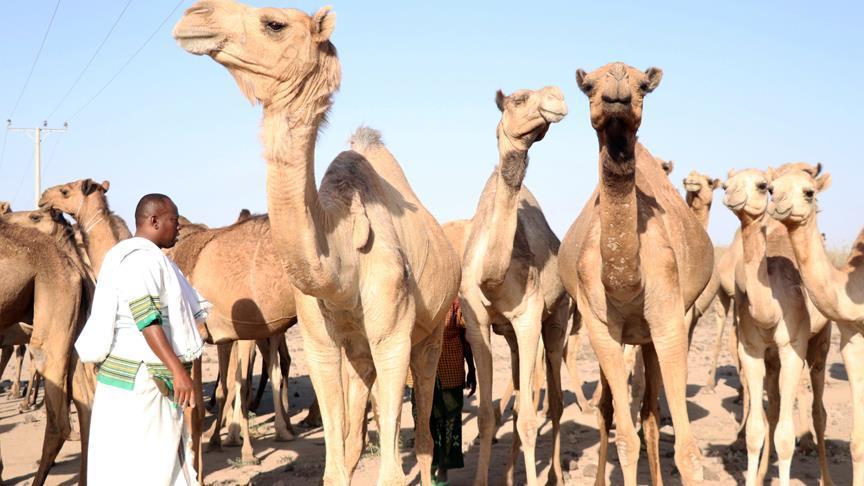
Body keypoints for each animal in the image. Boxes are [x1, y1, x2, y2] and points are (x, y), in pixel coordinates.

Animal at [174, 4, 461, 485]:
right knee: (357, 430)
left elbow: (390, 468)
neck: (340, 259)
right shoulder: (320, 342)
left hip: (433, 332)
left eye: (274, 23)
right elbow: (335, 463)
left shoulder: (393, 337)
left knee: (422, 436)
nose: (193, 16)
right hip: (360, 352)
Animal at [454, 86, 569, 485]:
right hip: (511, 337)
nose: (557, 97)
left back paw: (555, 476)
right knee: (520, 403)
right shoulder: (478, 324)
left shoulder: (529, 317)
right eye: (519, 99)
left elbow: (531, 421)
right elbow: (488, 417)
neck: (492, 276)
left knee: (554, 403)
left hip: (558, 318)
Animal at [558, 62, 713, 486]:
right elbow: (625, 441)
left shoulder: (670, 322)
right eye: (588, 86)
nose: (616, 92)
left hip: (649, 338)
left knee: (649, 415)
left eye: (643, 85)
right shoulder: (601, 328)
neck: (628, 279)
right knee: (612, 411)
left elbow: (689, 451)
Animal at [721, 166, 832, 486]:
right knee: (771, 411)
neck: (769, 310)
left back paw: (827, 478)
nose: (731, 194)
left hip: (819, 343)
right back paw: (760, 474)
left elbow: (785, 436)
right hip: (772, 360)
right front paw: (753, 478)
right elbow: (755, 429)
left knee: (819, 412)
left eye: (762, 186)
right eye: (726, 184)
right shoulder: (752, 350)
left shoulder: (792, 348)